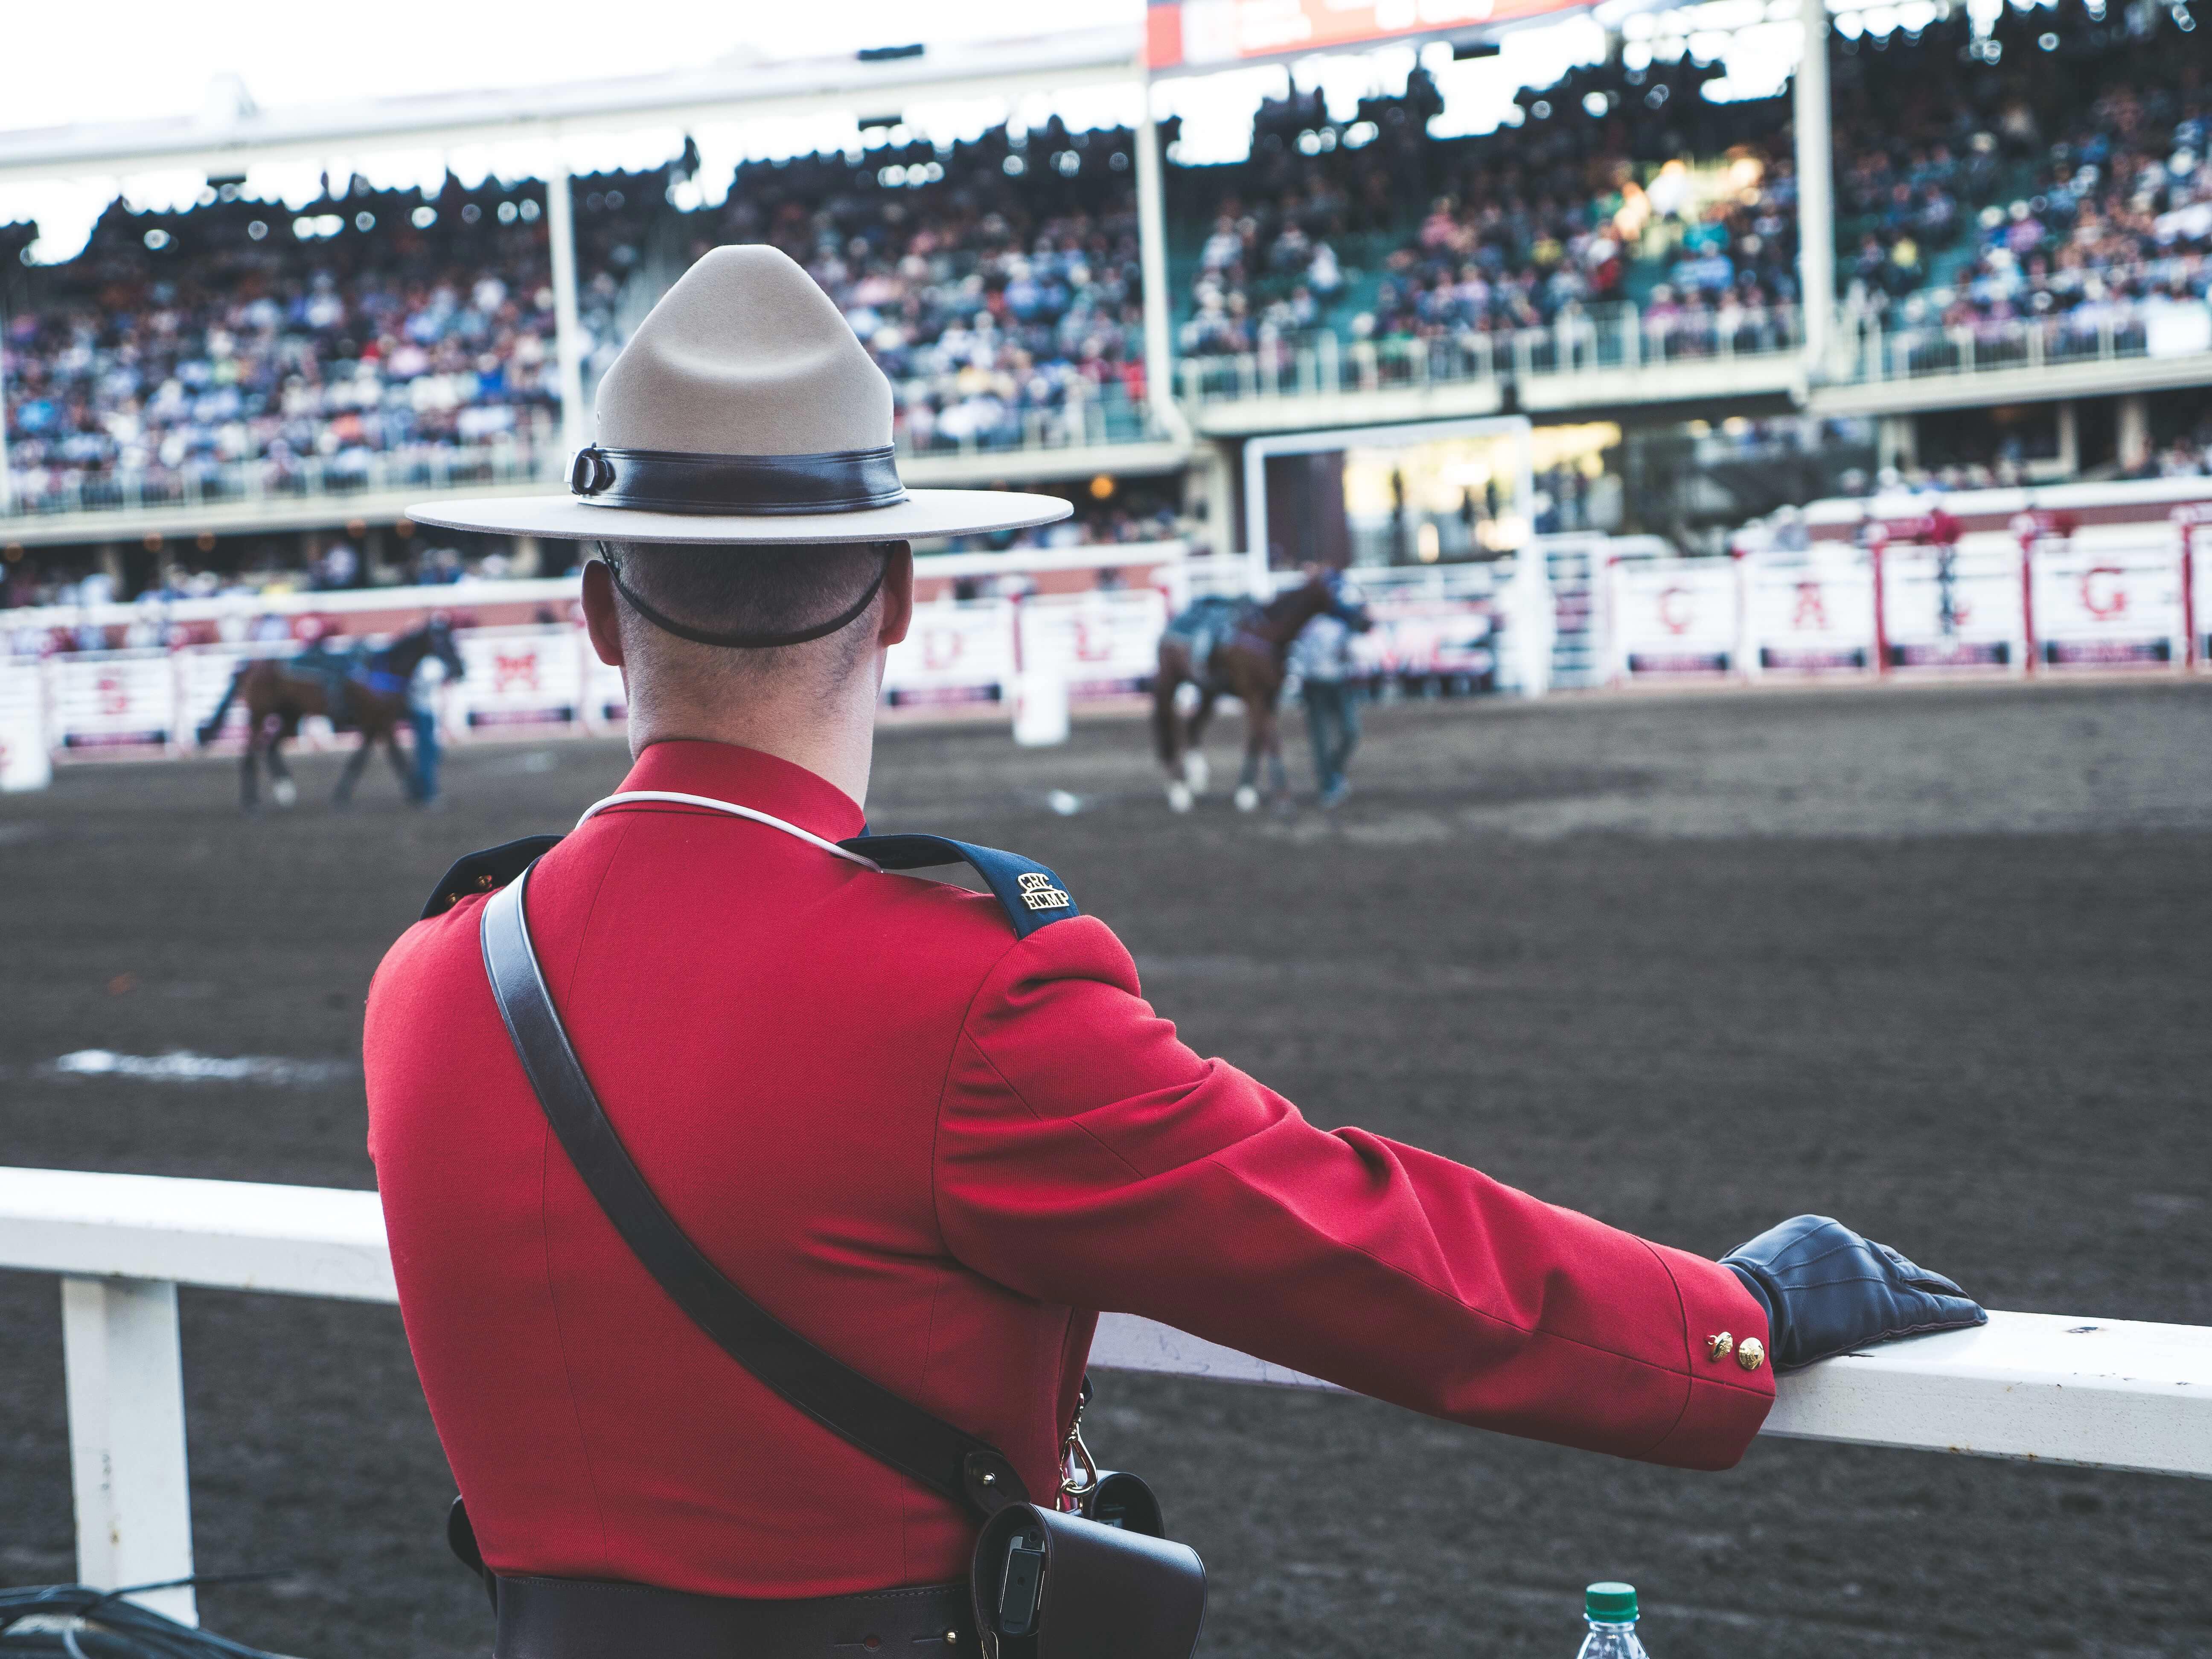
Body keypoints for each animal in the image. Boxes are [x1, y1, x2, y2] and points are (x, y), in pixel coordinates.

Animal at [197, 619, 464, 814]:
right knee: (250, 753)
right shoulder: (381, 722)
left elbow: (359, 760)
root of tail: (250, 667)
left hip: (291, 716)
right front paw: (417, 793)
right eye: (443, 640)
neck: (383, 670)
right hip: (259, 716)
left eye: (454, 639)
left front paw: (342, 794)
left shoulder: (374, 726)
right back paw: (251, 802)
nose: (460, 669)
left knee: (271, 747)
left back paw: (286, 791)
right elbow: (395, 758)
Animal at [1159, 575, 1362, 814]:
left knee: (1193, 725)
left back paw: (1196, 781)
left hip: (1209, 691)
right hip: (1168, 684)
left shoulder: (1269, 698)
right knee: (1167, 728)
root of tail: (1173, 624)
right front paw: (1283, 799)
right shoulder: (1254, 696)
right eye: (1339, 592)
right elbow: (1271, 739)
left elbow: (1257, 738)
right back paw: (1179, 792)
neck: (1267, 633)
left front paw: (1245, 792)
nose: (1366, 621)